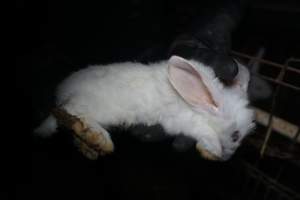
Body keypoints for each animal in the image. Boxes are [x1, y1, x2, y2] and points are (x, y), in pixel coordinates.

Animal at [35, 55, 255, 161]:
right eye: (235, 135)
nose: (227, 158)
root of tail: (64, 95)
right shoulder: (184, 121)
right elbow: (205, 133)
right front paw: (212, 151)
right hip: (91, 107)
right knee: (72, 112)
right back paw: (100, 139)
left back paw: (89, 145)